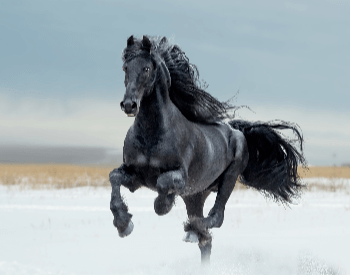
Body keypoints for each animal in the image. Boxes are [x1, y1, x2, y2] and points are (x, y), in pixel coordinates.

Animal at [110, 35, 306, 264]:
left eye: (147, 68)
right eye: (125, 68)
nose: (129, 105)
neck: (152, 134)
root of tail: (237, 131)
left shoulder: (181, 177)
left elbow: (163, 184)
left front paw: (164, 204)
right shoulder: (135, 176)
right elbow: (114, 177)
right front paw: (124, 224)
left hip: (228, 179)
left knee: (215, 218)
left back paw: (191, 228)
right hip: (195, 196)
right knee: (206, 241)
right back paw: (195, 235)